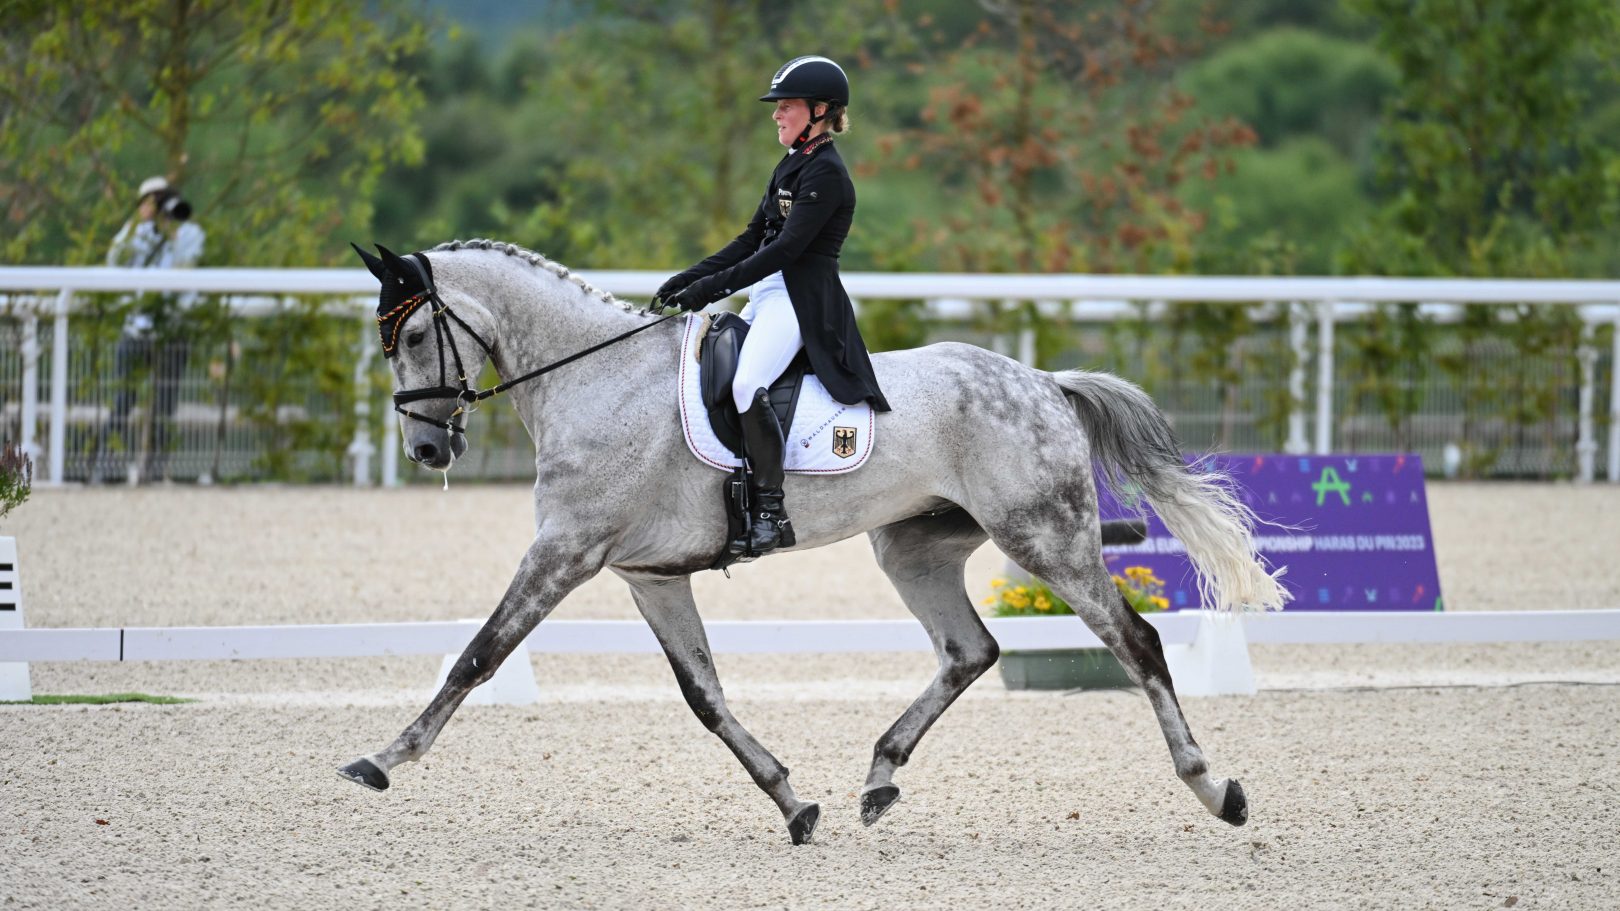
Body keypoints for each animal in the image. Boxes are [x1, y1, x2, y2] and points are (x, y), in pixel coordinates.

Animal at [339, 238, 1288, 845]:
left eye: (415, 334)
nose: (427, 450)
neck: (596, 378)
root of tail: (1046, 382)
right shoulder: (650, 575)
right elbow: (705, 696)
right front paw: (793, 803)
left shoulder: (564, 552)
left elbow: (478, 655)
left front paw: (383, 760)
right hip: (913, 549)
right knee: (969, 650)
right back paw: (878, 777)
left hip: (1043, 536)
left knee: (1135, 640)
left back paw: (1217, 789)